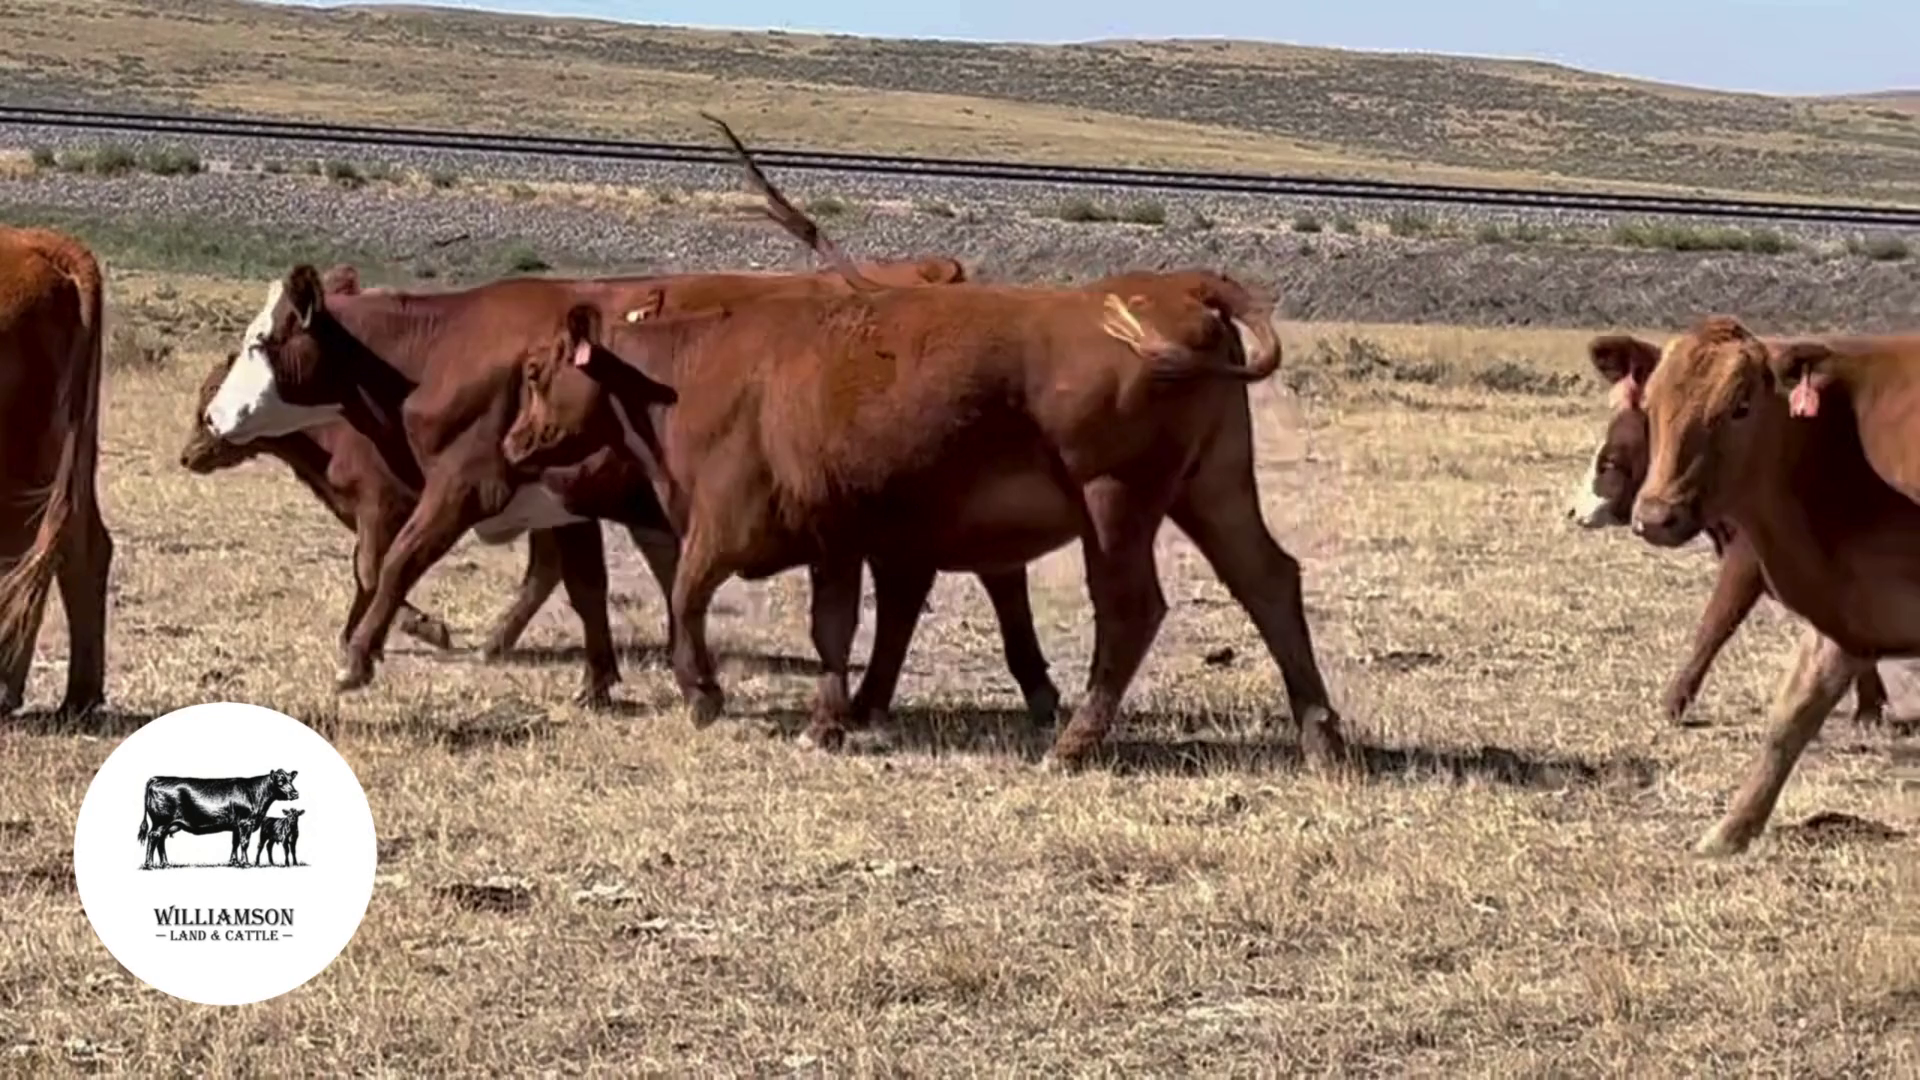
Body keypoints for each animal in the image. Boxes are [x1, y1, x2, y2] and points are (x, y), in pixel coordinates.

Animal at [200, 259, 1059, 714]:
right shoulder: (567, 506)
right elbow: (586, 588)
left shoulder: (463, 488)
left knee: (988, 576)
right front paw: (602, 680)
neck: (444, 350)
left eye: (260, 340)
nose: (210, 418)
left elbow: (396, 562)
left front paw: (361, 656)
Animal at [510, 272, 1344, 768]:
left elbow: (687, 598)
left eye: (535, 372)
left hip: (1116, 500)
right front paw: (832, 717)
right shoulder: (839, 539)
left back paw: (1075, 742)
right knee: (1268, 581)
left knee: (1131, 609)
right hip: (1215, 488)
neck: (691, 369)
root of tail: (1180, 287)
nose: (515, 443)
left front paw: (703, 695)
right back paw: (1320, 733)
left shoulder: (723, 525)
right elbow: (837, 629)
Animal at [1574, 332, 1889, 726]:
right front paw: (1870, 703)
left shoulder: (1748, 558)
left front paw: (1674, 701)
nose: (1575, 510)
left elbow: (1715, 623)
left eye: (1610, 461)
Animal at [1635, 315, 1920, 853]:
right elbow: (1791, 716)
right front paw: (1729, 833)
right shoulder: (1845, 611)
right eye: (1650, 404)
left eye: (1741, 406)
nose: (1656, 516)